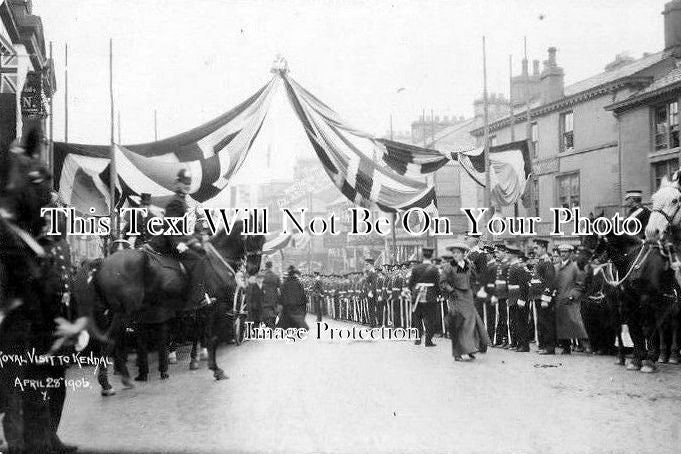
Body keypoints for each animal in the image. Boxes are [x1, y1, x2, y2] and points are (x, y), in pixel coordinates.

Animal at [74, 218, 264, 382]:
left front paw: (194, 360)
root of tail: (103, 263)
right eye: (254, 236)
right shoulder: (212, 306)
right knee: (110, 341)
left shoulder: (197, 309)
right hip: (122, 314)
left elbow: (197, 332)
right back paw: (110, 380)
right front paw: (215, 368)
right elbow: (210, 337)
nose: (253, 269)